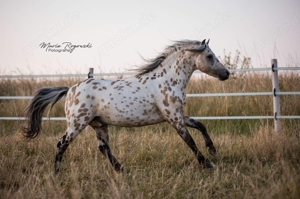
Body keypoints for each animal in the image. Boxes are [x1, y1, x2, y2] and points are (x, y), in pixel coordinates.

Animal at [23, 39, 230, 173]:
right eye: (210, 56)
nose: (226, 73)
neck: (167, 81)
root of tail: (70, 89)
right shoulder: (173, 118)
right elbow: (189, 140)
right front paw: (207, 163)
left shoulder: (178, 115)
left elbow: (200, 125)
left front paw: (212, 150)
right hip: (77, 123)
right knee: (62, 143)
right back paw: (57, 172)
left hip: (99, 124)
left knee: (103, 147)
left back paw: (121, 169)